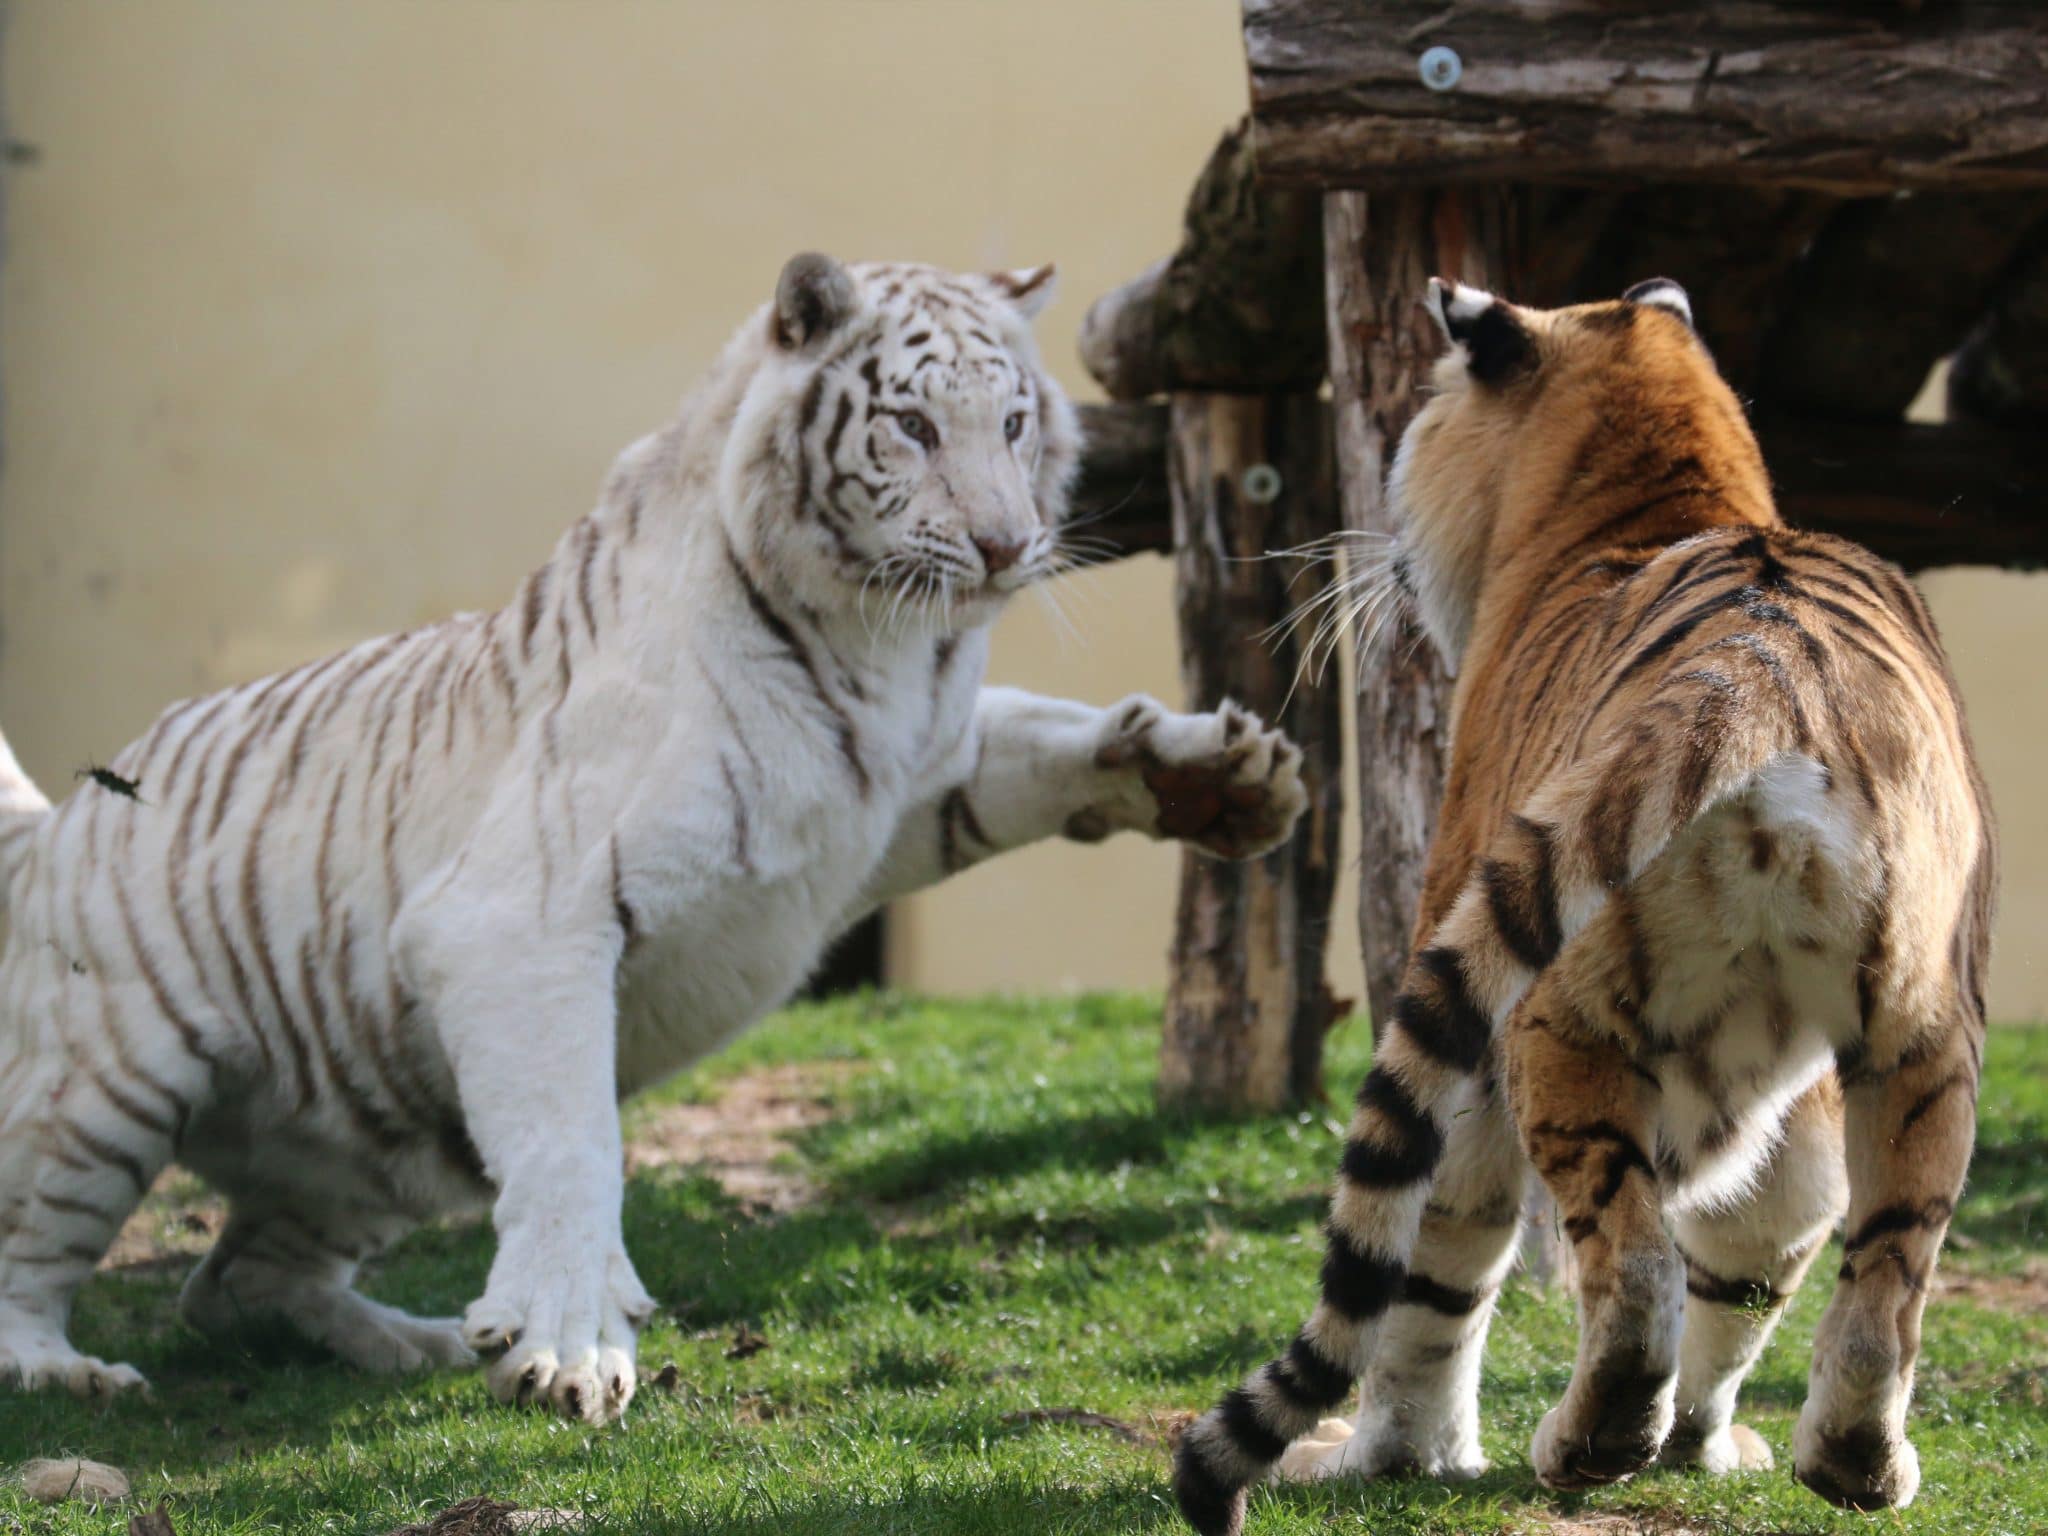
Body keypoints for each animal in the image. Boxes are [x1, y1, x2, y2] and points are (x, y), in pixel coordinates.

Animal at [0, 249, 1310, 1417]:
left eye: (1015, 424)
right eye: (912, 428)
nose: (1002, 547)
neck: (881, 650)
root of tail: (48, 832)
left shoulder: (908, 786)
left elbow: (1043, 735)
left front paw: (1216, 775)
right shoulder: (522, 922)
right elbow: (570, 1143)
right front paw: (569, 1347)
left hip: (374, 1137)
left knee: (233, 1281)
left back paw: (415, 1343)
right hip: (105, 1093)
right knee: (37, 1256)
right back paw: (69, 1373)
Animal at [1179, 276, 1990, 1536]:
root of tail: (1761, 670)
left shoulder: (1458, 964)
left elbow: (1430, 1265)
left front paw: (1391, 1456)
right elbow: (1749, 1265)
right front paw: (1702, 1447)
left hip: (1561, 1013)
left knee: (1630, 1264)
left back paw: (1586, 1438)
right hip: (1919, 1040)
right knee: (1874, 1276)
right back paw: (1854, 1461)